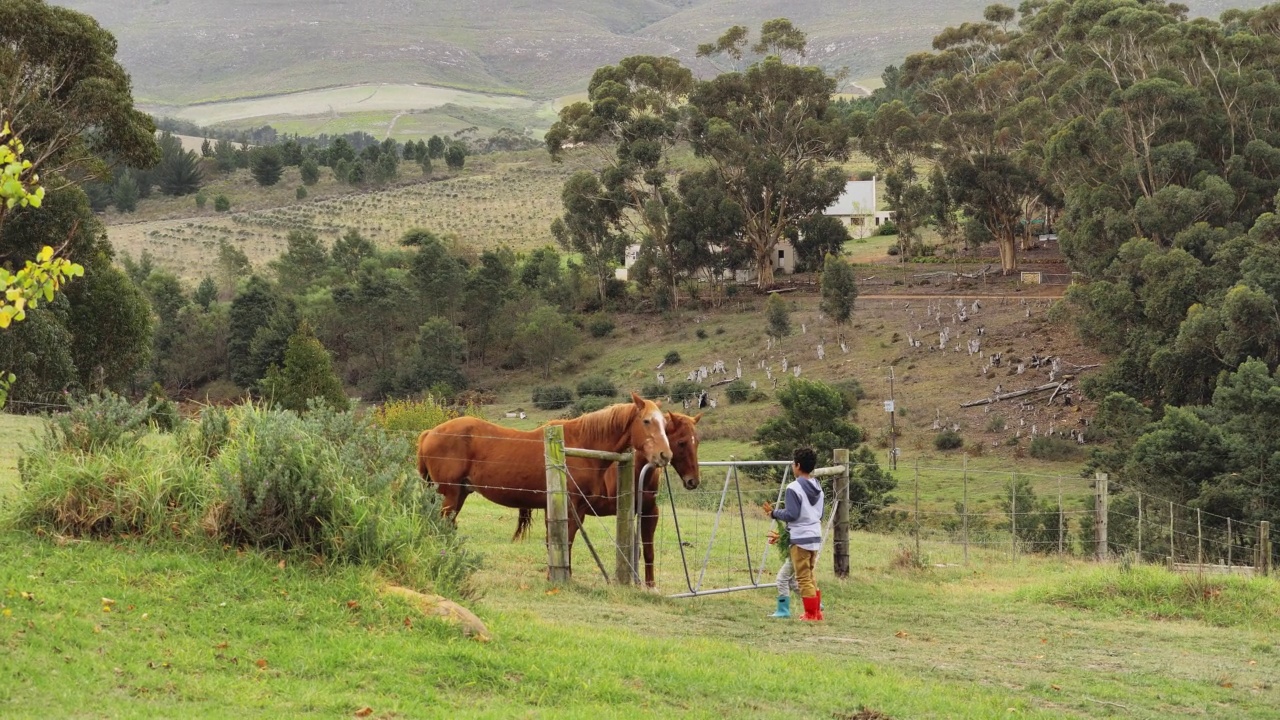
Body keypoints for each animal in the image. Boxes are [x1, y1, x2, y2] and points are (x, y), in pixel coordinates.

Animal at [419, 392, 680, 571]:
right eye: (646, 421)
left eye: (664, 424)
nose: (665, 455)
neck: (579, 445)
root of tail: (429, 432)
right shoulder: (567, 507)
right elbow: (559, 542)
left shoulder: (578, 510)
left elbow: (566, 542)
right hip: (450, 495)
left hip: (458, 494)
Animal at [512, 412, 706, 586]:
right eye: (681, 442)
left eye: (697, 442)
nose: (693, 481)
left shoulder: (648, 512)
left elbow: (645, 551)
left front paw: (649, 585)